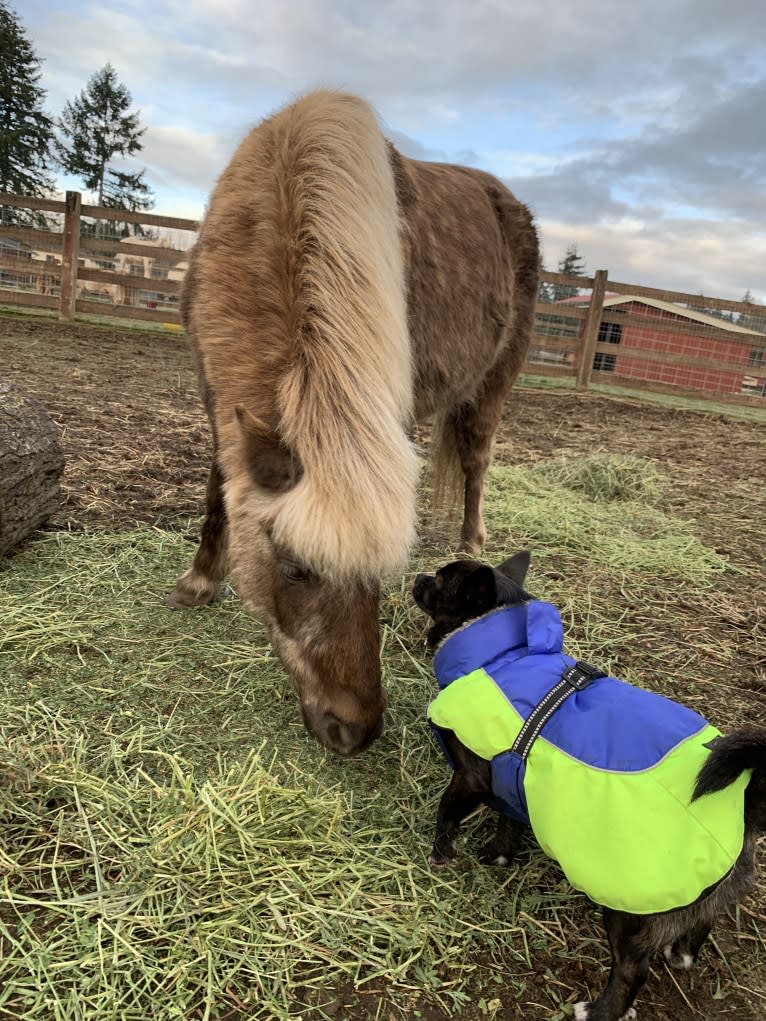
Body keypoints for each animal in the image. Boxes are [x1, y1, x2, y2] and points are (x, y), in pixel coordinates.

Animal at [167, 89, 539, 759]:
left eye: (378, 575)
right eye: (295, 569)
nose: (356, 729)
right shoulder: (214, 390)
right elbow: (217, 484)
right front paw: (199, 581)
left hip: (493, 384)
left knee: (476, 461)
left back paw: (472, 542)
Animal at [414, 555, 766, 1021]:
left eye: (440, 581)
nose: (418, 575)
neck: (504, 654)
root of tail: (742, 804)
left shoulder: (470, 775)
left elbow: (447, 812)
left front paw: (440, 854)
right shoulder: (512, 781)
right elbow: (508, 822)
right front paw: (498, 857)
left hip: (626, 912)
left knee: (632, 970)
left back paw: (599, 1011)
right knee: (700, 926)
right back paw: (682, 954)